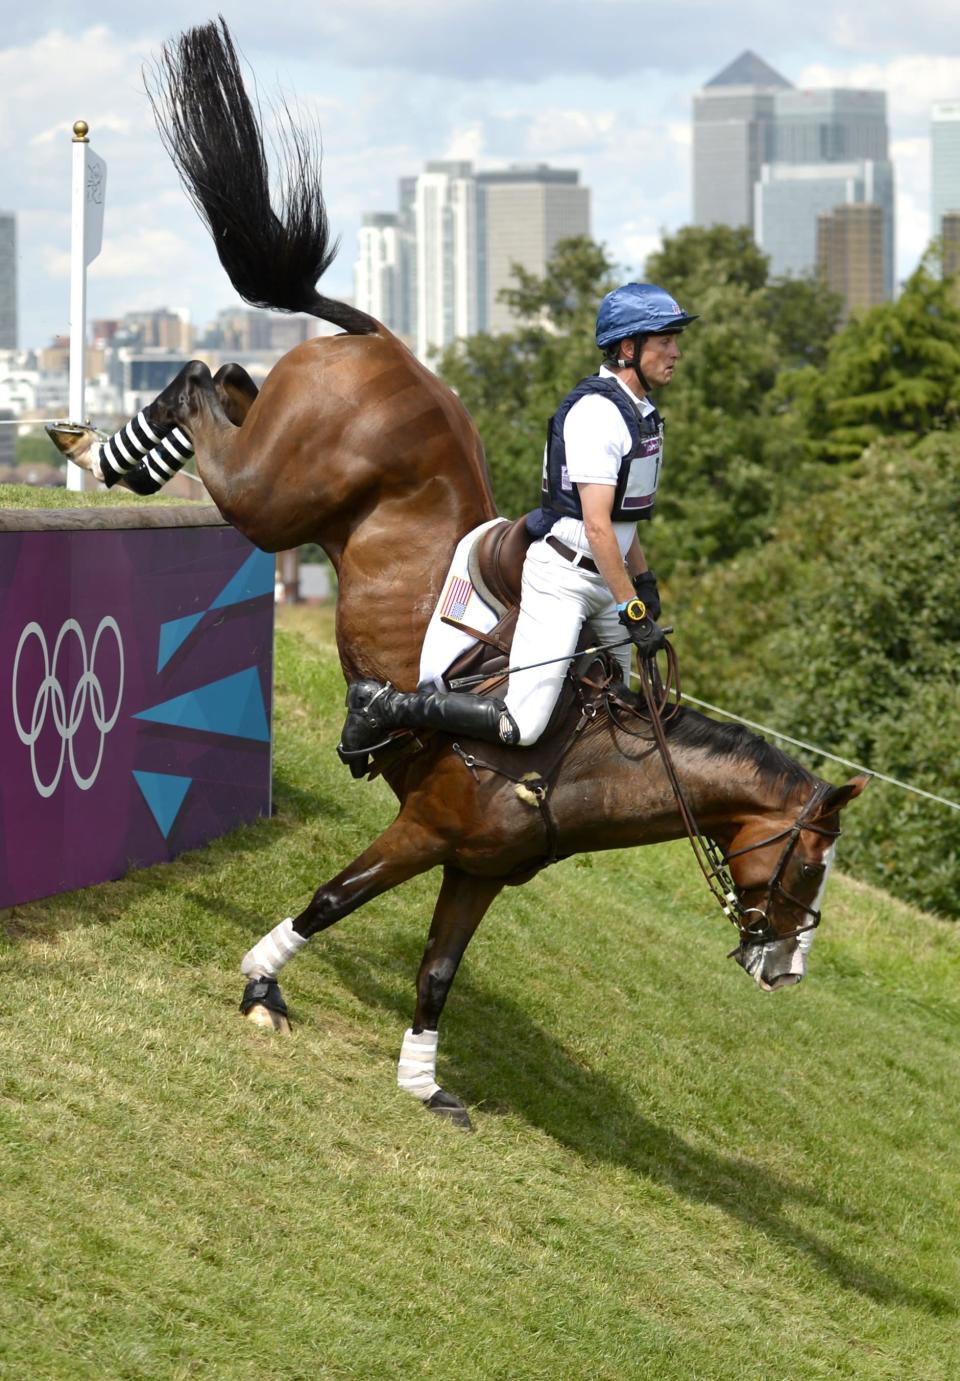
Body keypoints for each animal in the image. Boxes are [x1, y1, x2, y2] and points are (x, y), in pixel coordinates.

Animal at [48, 18, 867, 1132]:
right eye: (809, 863)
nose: (783, 969)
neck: (583, 755)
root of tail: (386, 338)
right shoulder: (425, 825)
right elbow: (331, 899)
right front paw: (262, 984)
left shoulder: (477, 868)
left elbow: (439, 970)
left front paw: (423, 1083)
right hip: (271, 497)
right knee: (197, 389)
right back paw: (98, 451)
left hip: (290, 478)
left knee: (229, 376)